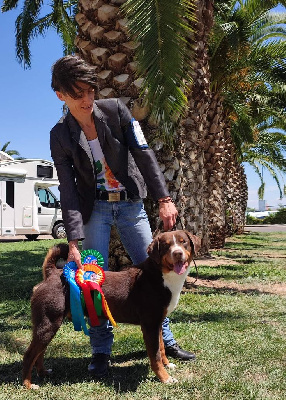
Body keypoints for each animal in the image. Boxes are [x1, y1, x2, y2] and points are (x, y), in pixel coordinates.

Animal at [22, 230, 201, 390]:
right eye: (166, 245)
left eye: (183, 242)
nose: (177, 253)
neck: (161, 276)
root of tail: (52, 274)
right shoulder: (149, 324)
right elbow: (155, 355)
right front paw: (165, 378)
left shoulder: (157, 322)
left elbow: (161, 348)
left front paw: (167, 365)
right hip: (48, 322)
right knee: (30, 354)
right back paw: (28, 384)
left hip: (48, 325)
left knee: (40, 352)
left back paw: (43, 373)